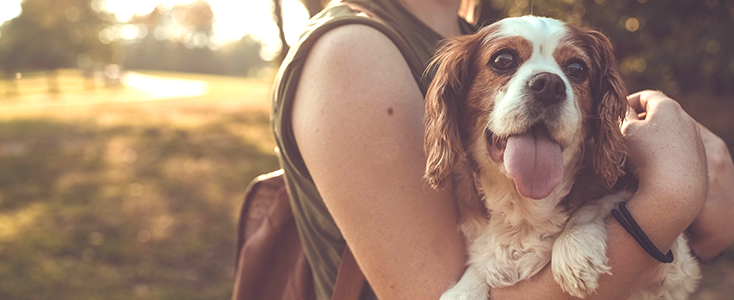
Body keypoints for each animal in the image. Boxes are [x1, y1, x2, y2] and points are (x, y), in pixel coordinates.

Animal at [428, 16, 704, 300]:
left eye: (577, 68)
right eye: (502, 60)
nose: (549, 85)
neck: (526, 205)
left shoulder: (677, 272)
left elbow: (598, 204)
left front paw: (574, 248)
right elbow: (481, 263)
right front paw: (466, 287)